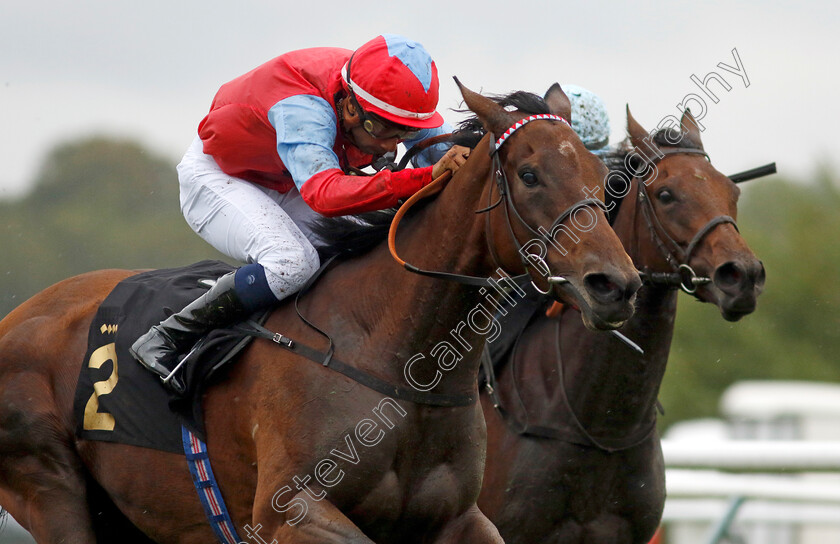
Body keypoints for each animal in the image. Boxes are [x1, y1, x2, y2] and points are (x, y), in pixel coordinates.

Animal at [0, 82, 640, 544]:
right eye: (529, 176)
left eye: (602, 178)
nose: (615, 285)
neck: (398, 359)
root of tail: (19, 316)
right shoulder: (290, 510)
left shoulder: (461, 518)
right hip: (50, 489)